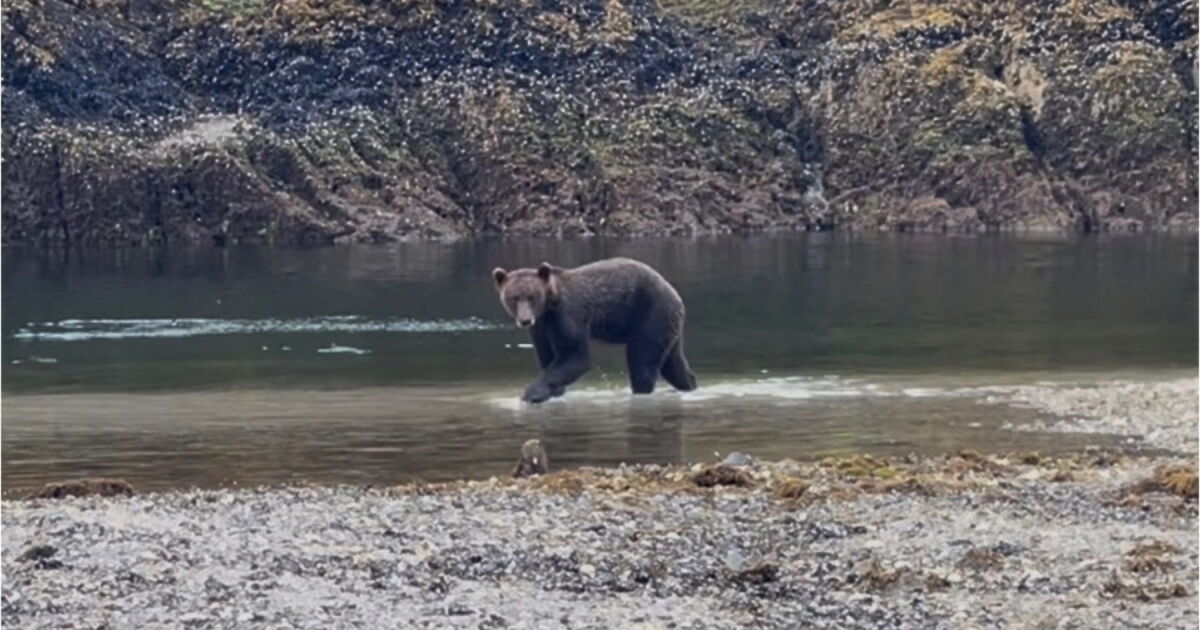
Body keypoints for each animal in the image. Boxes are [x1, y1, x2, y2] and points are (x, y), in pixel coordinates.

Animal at [491, 257, 697, 403]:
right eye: (514, 298)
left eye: (531, 296)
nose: (525, 320)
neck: (548, 306)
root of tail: (676, 295)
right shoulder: (541, 327)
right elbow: (548, 356)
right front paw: (553, 392)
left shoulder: (567, 314)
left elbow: (574, 356)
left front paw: (531, 394)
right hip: (667, 326)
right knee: (673, 365)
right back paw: (690, 385)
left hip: (651, 314)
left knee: (642, 362)